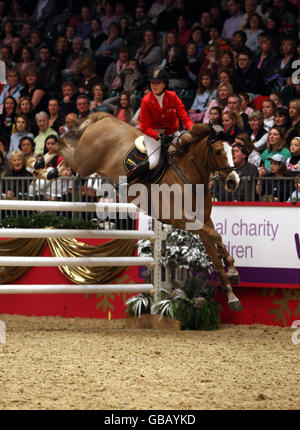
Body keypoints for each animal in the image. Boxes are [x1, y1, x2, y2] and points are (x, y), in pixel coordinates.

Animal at [38, 112, 244, 310]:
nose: (233, 182)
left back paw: (52, 172)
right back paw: (40, 165)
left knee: (67, 156)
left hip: (84, 161)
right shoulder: (181, 220)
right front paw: (232, 270)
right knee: (62, 145)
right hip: (86, 162)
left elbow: (215, 250)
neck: (189, 179)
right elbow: (216, 236)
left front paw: (232, 291)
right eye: (218, 151)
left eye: (232, 150)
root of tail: (106, 118)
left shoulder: (204, 222)